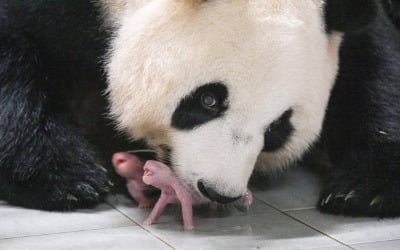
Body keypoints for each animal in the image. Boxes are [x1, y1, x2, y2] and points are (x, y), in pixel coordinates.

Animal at [0, 0, 398, 219]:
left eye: (277, 129)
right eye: (208, 100)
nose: (219, 191)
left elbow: (374, 69)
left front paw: (364, 189)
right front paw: (66, 178)